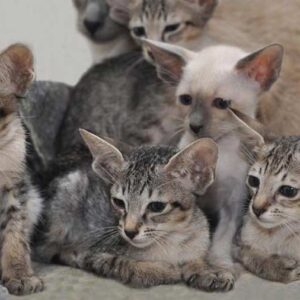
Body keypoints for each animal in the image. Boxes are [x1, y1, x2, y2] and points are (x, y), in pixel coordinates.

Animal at [33, 130, 234, 292]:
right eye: (118, 202)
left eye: (156, 206)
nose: (129, 231)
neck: (170, 240)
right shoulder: (95, 252)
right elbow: (122, 263)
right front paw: (161, 270)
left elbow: (196, 258)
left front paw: (208, 270)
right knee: (51, 249)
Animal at [145, 39, 284, 274]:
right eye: (186, 99)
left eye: (221, 104)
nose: (194, 125)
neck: (218, 150)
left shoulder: (233, 204)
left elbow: (222, 237)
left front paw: (219, 262)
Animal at [227, 109, 300, 282]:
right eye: (253, 181)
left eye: (288, 191)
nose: (256, 208)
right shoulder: (237, 242)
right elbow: (248, 253)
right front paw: (276, 266)